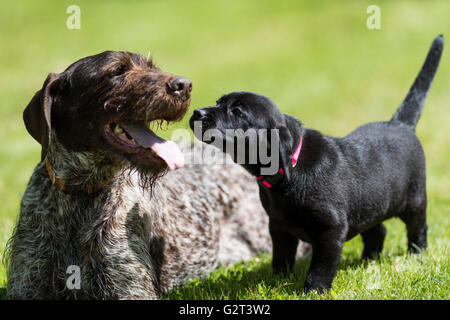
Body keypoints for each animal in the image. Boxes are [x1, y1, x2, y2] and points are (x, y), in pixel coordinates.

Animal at [189, 35, 442, 292]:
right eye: (218, 102)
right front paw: (276, 280)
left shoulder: (330, 230)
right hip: (372, 202)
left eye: (238, 112)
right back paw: (368, 259)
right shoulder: (278, 226)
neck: (290, 168)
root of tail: (400, 123)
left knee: (418, 229)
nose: (197, 113)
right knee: (377, 230)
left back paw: (416, 255)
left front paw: (314, 290)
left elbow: (320, 266)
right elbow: (281, 256)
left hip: (414, 200)